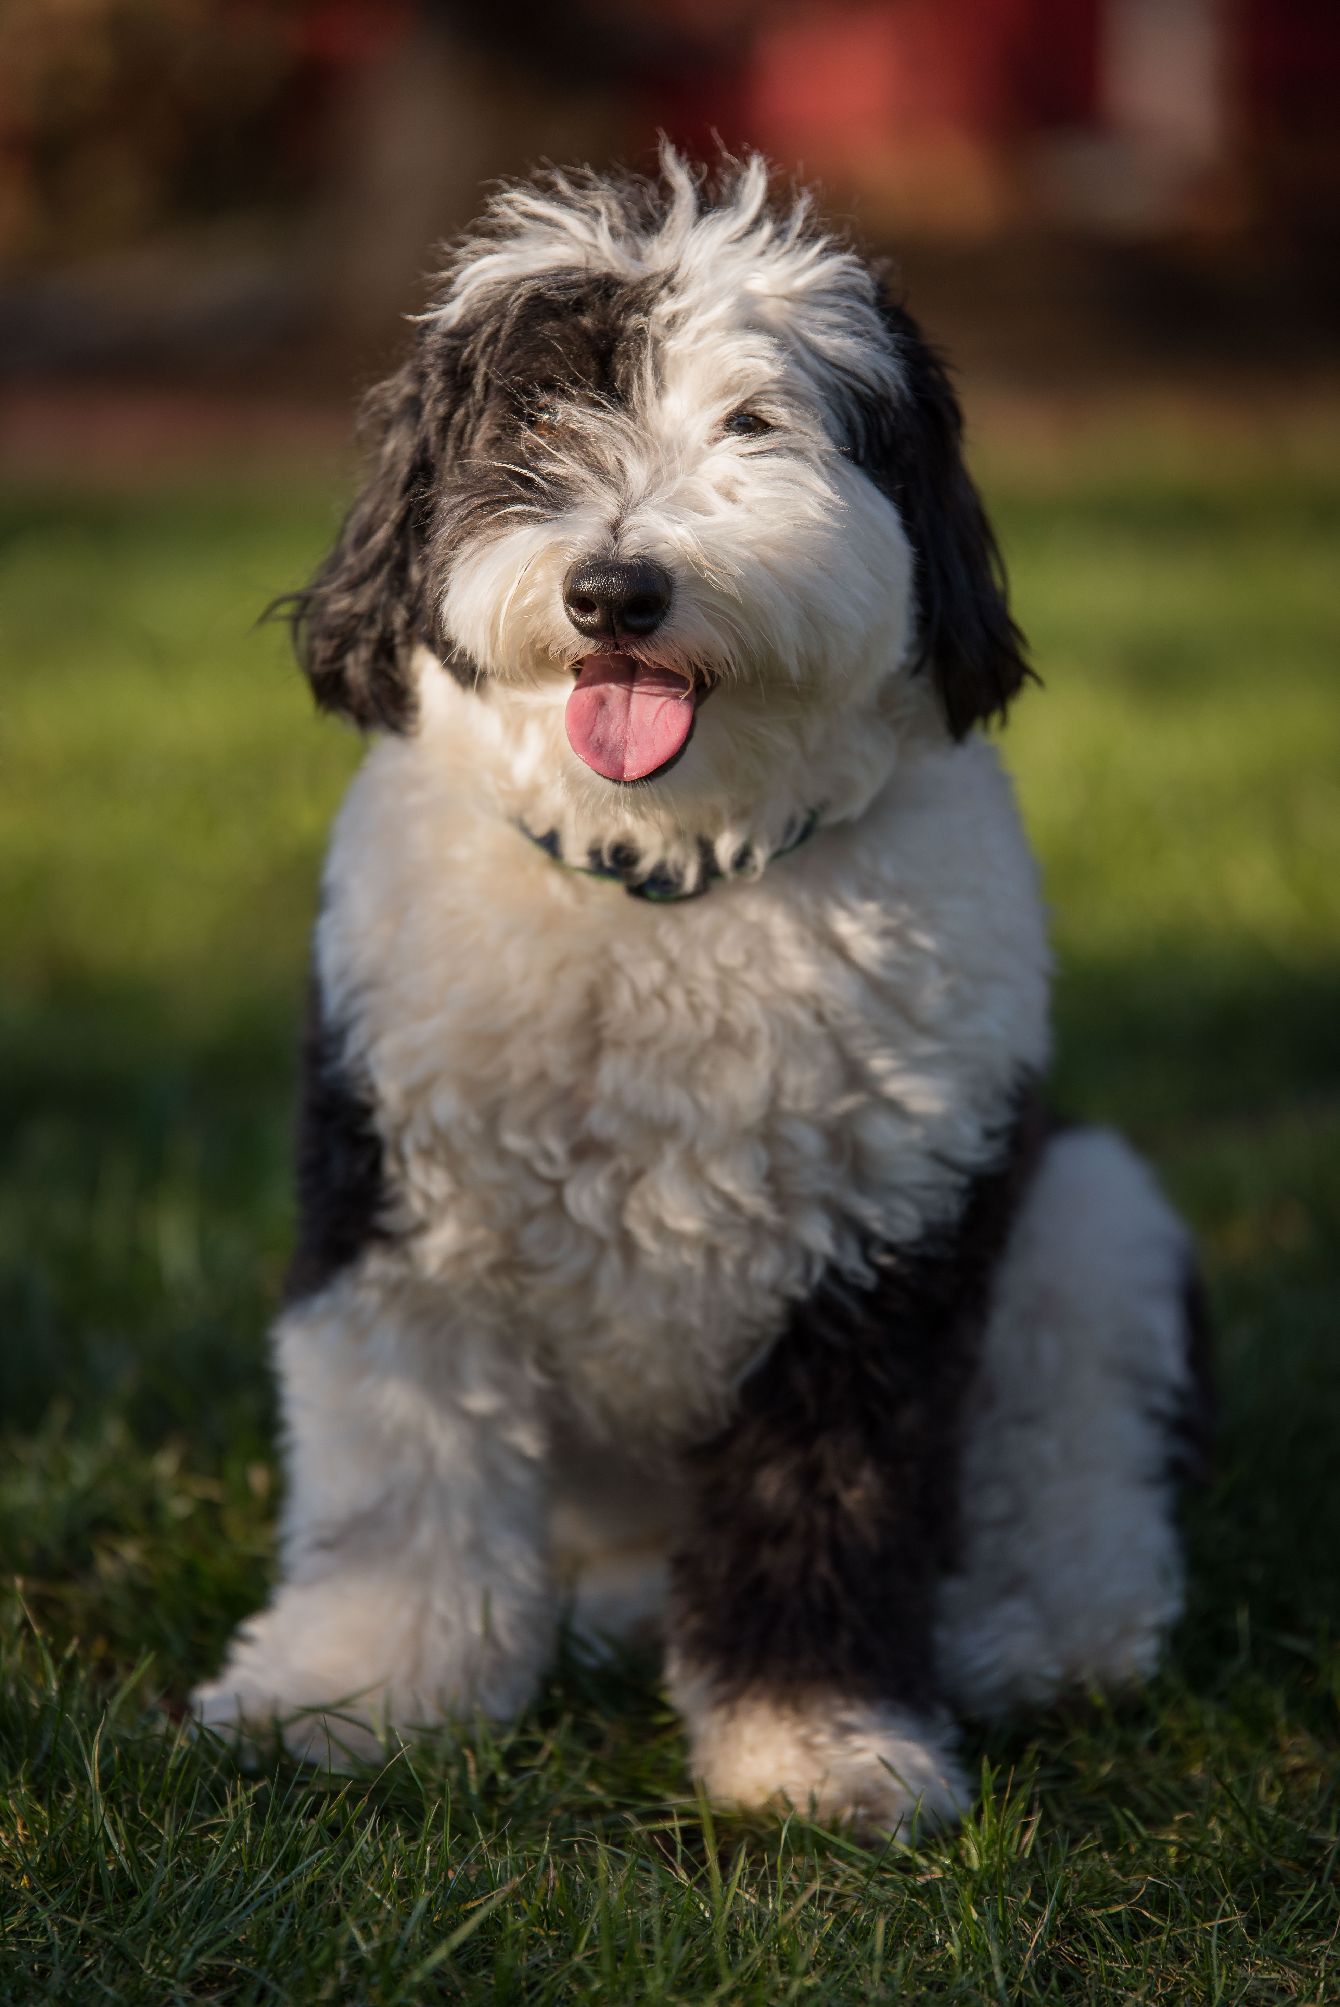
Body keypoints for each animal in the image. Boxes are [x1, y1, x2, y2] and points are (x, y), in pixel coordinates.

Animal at [190, 145, 1211, 1838]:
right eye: (535, 417)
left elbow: (829, 1512)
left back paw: (1036, 1635)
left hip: (1087, 1214)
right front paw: (352, 1693)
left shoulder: (876, 1256)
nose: (618, 588)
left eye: (755, 421)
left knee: (1082, 1479)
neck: (673, 875)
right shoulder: (403, 1217)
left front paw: (821, 1748)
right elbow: (402, 1481)